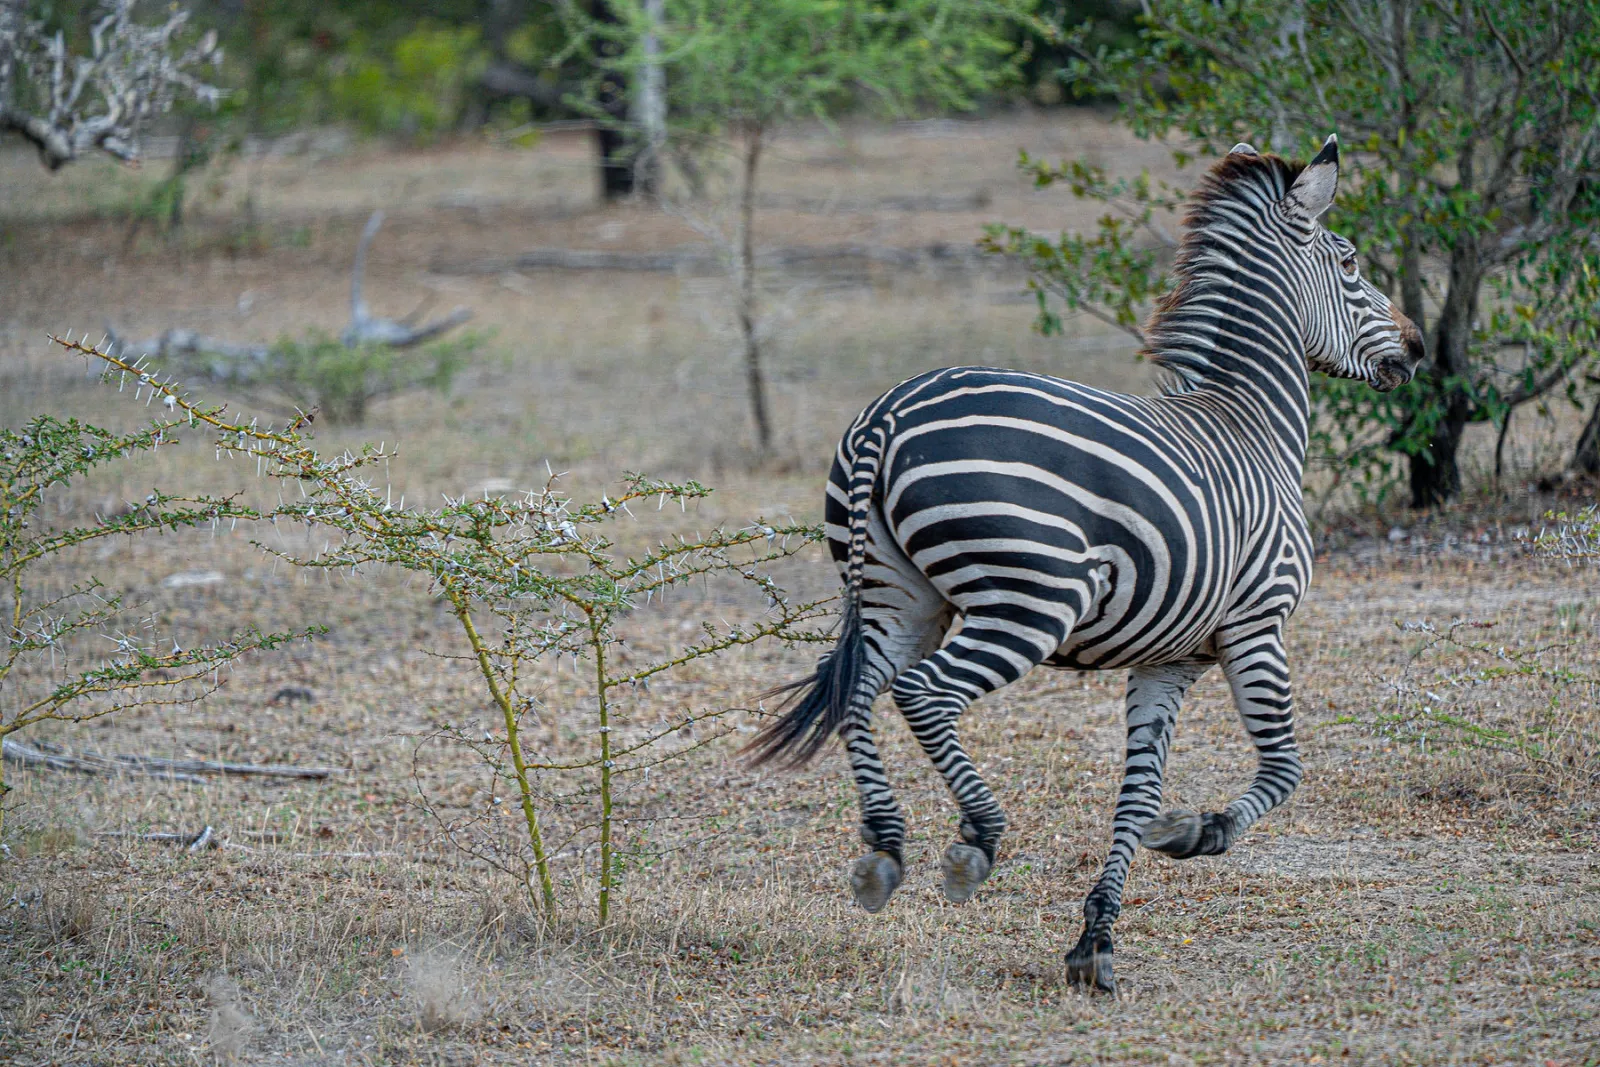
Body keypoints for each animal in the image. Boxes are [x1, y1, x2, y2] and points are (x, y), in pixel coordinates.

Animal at [746, 135, 1424, 994]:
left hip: (899, 599)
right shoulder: (1257, 624)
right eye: (1350, 262)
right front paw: (1198, 833)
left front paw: (1096, 937)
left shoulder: (1172, 657)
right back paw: (975, 839)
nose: (1418, 347)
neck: (1251, 422)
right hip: (1029, 601)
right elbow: (1284, 767)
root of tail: (889, 414)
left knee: (860, 696)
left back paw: (884, 847)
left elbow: (1136, 792)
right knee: (924, 693)